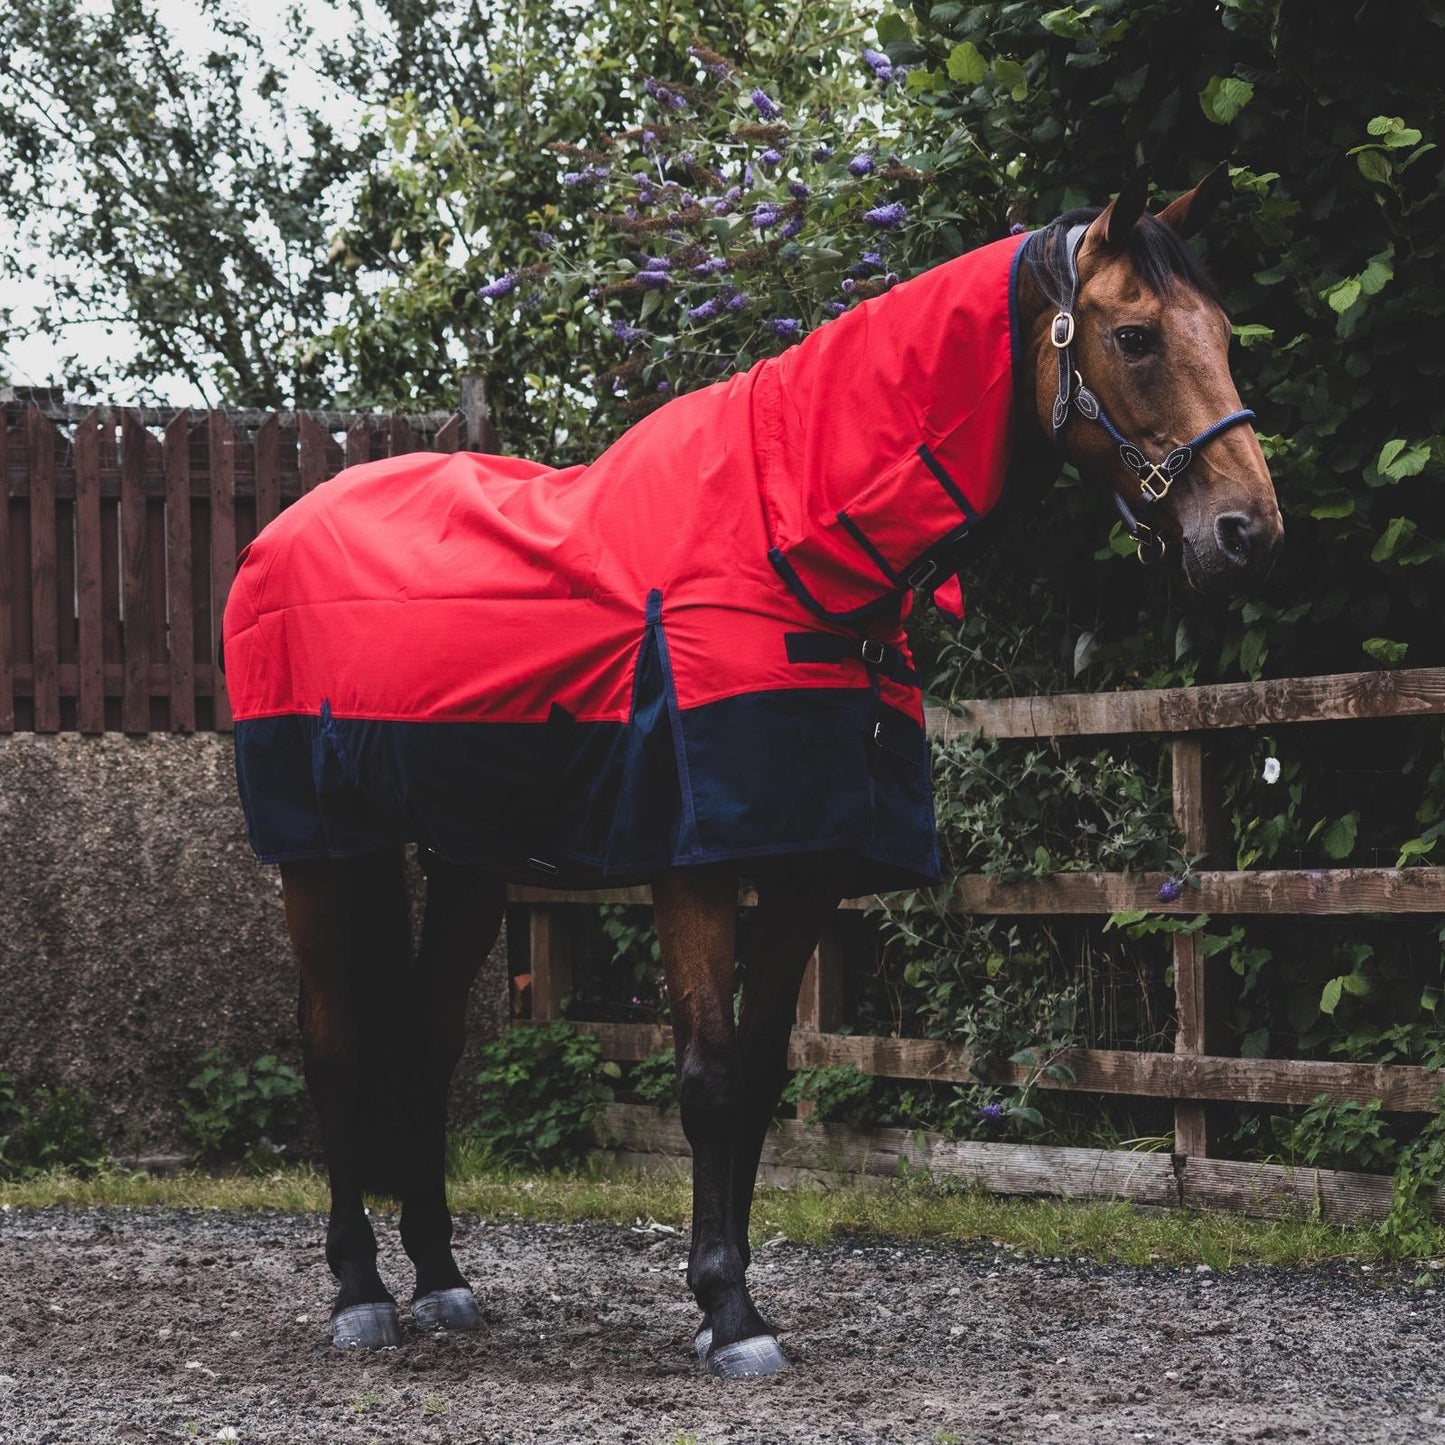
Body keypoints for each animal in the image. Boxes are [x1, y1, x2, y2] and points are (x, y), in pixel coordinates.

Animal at [221, 167, 1282, 1377]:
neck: (786, 540)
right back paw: (357, 1289)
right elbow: (710, 1075)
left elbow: (764, 1073)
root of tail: (275, 536)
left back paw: (440, 1276)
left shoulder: (807, 863)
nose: (1247, 531)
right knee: (335, 1045)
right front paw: (729, 1310)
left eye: (1222, 333)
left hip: (467, 857)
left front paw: (719, 1293)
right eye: (1136, 336)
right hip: (321, 852)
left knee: (428, 1040)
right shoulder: (694, 861)